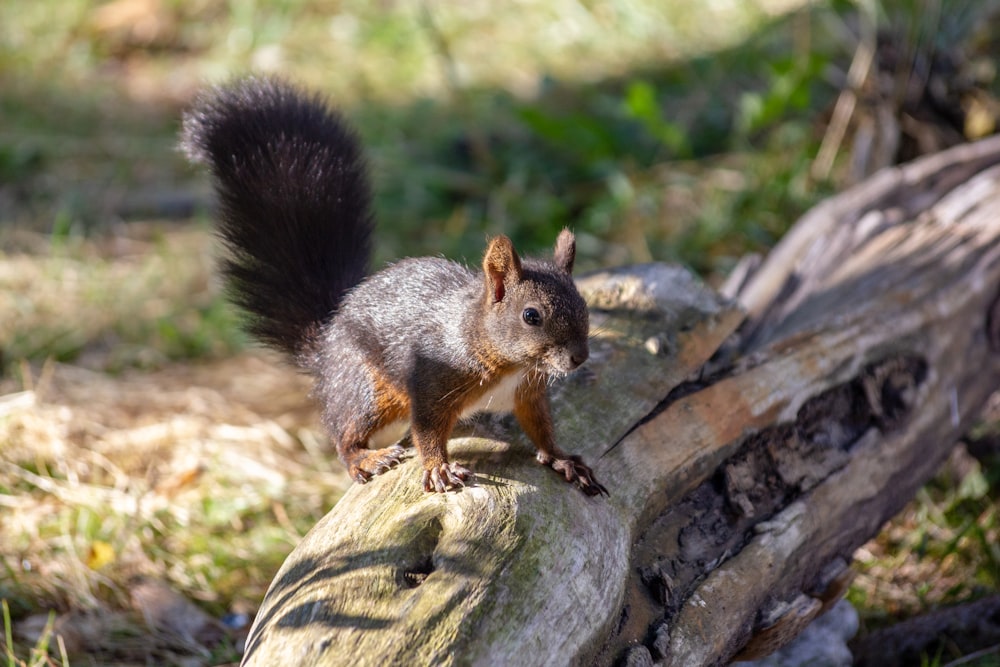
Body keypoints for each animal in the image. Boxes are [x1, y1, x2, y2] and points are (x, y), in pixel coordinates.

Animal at [181, 78, 604, 496]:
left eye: (584, 305)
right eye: (531, 316)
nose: (579, 358)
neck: (507, 361)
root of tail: (325, 344)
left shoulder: (529, 393)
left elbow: (541, 427)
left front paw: (562, 459)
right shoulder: (431, 379)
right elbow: (427, 430)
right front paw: (439, 468)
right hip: (366, 389)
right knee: (345, 432)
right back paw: (365, 458)